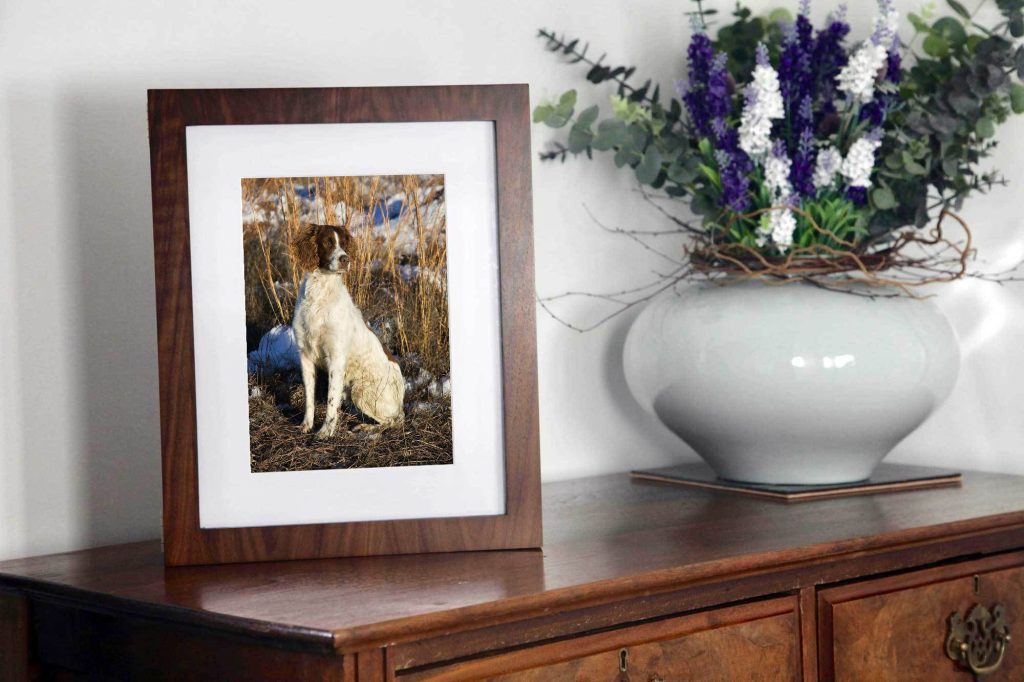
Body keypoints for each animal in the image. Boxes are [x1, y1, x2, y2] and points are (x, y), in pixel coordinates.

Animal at [292, 223, 403, 436]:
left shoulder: (336, 358)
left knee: (395, 421)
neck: (320, 294)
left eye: (344, 243)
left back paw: (366, 427)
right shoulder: (305, 356)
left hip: (360, 389)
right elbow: (309, 398)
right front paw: (307, 425)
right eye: (327, 242)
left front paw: (325, 432)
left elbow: (331, 400)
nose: (345, 259)